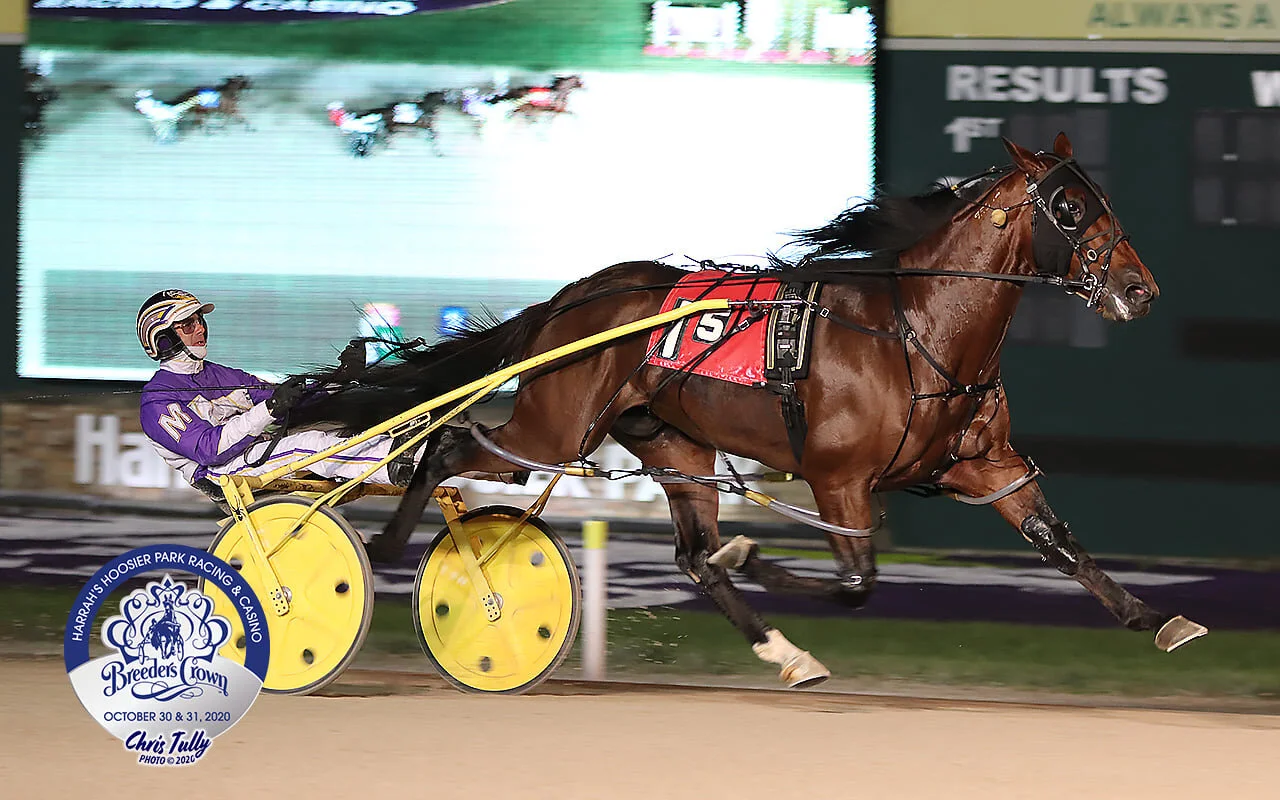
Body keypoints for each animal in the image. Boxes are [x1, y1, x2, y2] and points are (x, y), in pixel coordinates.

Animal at [290, 133, 1207, 687]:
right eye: (1069, 208)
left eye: (1100, 197)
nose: (1140, 290)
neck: (916, 329)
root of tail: (571, 298)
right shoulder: (840, 480)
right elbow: (856, 582)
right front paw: (758, 553)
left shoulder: (985, 464)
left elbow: (1058, 540)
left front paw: (1157, 618)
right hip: (555, 427)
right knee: (449, 447)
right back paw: (385, 547)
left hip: (673, 443)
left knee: (694, 556)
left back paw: (784, 650)